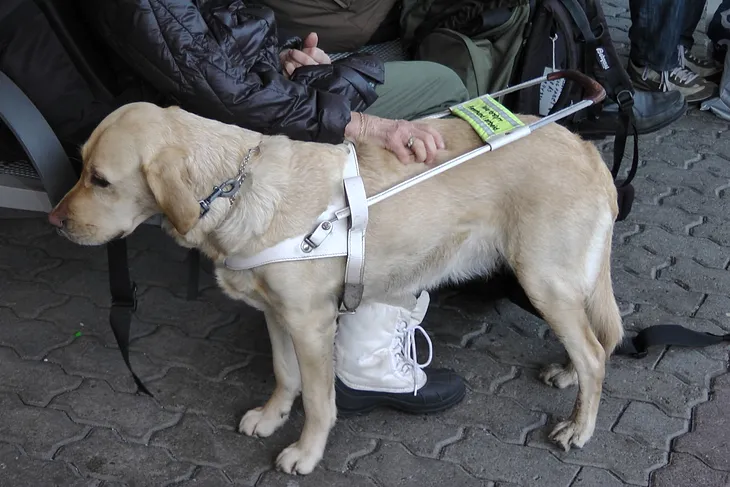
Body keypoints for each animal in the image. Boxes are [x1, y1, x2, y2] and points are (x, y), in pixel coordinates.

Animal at [49, 102, 620, 472]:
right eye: (81, 166)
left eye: (100, 180)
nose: (54, 221)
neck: (240, 190)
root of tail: (586, 147)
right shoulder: (276, 315)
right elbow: (285, 376)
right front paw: (273, 416)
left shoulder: (312, 324)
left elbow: (321, 401)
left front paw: (306, 451)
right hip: (559, 284)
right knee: (595, 342)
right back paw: (569, 376)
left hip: (542, 279)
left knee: (596, 352)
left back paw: (580, 425)